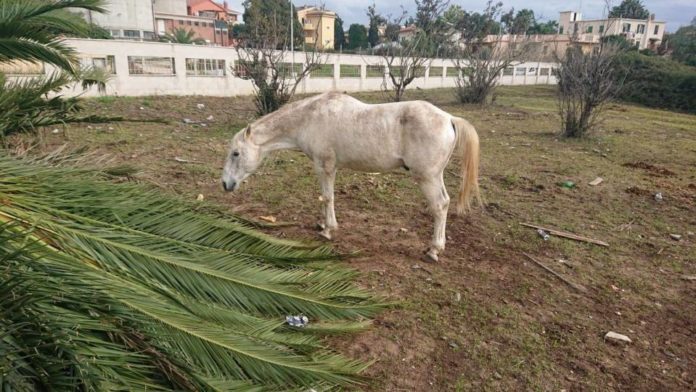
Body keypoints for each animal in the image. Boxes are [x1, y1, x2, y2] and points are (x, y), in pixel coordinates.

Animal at [222, 92, 478, 262]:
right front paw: (322, 223)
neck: (310, 117)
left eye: (236, 153)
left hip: (427, 178)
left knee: (440, 205)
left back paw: (434, 250)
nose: (225, 184)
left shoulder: (325, 166)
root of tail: (449, 119)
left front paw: (328, 230)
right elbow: (324, 197)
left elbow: (328, 197)